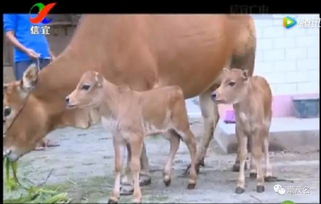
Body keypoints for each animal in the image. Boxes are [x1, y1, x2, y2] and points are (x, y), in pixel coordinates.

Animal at [65, 71, 198, 203]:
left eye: (86, 86)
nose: (67, 99)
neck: (116, 104)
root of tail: (176, 89)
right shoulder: (118, 139)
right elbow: (118, 165)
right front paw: (114, 197)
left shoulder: (136, 137)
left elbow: (135, 165)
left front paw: (137, 196)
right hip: (165, 130)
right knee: (175, 141)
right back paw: (166, 177)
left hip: (182, 125)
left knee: (192, 143)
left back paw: (192, 180)